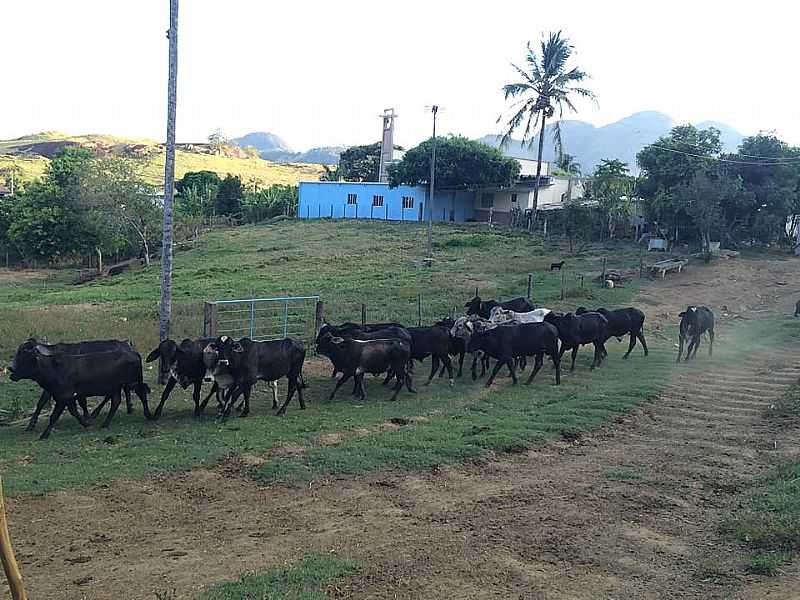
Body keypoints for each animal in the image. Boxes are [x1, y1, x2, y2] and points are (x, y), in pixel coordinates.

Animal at [8, 338, 148, 440]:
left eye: (24, 355)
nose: (10, 368)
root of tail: (129, 347)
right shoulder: (65, 396)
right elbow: (71, 409)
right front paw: (86, 421)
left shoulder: (64, 396)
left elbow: (53, 413)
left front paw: (40, 431)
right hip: (117, 386)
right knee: (117, 398)